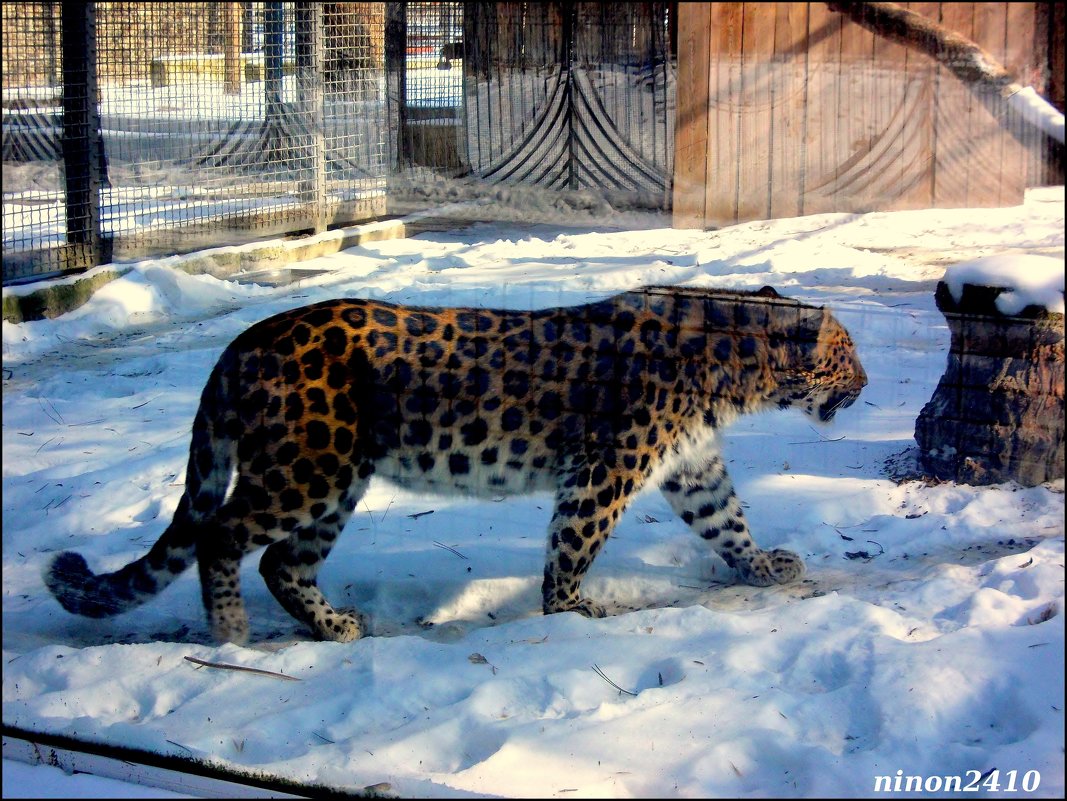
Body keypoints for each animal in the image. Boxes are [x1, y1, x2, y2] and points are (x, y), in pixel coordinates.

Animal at [48, 285, 866, 644]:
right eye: (846, 354)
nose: (865, 385)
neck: (736, 372)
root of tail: (242, 342)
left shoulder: (691, 465)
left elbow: (726, 521)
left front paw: (765, 567)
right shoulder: (605, 469)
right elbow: (574, 540)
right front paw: (569, 611)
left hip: (337, 481)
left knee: (282, 560)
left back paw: (335, 625)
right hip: (305, 469)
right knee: (221, 535)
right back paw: (230, 632)